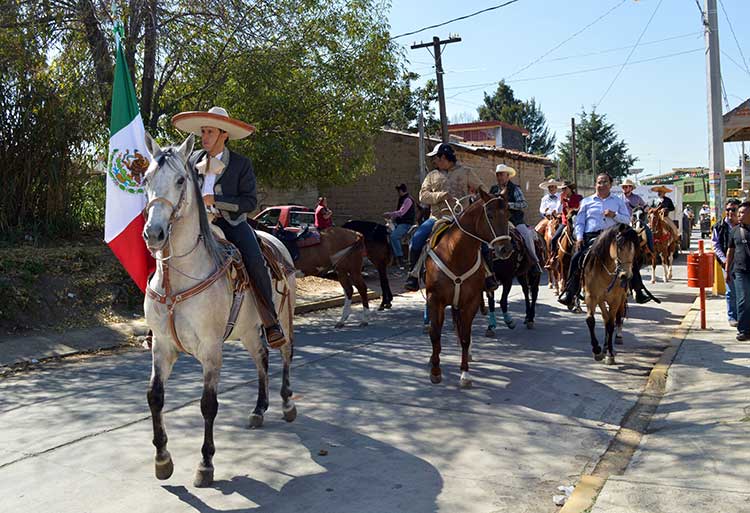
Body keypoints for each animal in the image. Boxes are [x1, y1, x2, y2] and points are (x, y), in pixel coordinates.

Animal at [142, 131, 296, 484]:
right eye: (146, 178)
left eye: (181, 180)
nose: (154, 233)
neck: (176, 282)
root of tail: (278, 244)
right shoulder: (162, 346)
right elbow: (155, 397)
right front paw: (162, 459)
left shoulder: (211, 349)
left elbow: (208, 404)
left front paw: (205, 463)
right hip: (250, 331)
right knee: (261, 358)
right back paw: (258, 409)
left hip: (283, 318)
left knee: (284, 353)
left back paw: (286, 404)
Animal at [426, 190, 516, 386]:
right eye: (490, 215)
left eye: (508, 214)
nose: (505, 249)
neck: (455, 254)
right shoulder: (435, 300)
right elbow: (435, 334)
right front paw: (435, 371)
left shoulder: (471, 302)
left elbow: (466, 336)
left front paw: (465, 373)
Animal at [580, 224, 640, 364]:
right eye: (620, 245)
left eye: (634, 247)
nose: (626, 276)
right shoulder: (591, 296)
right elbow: (591, 320)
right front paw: (597, 350)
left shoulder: (615, 299)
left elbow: (611, 323)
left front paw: (610, 354)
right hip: (601, 299)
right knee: (605, 318)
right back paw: (604, 347)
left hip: (620, 299)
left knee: (614, 318)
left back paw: (612, 342)